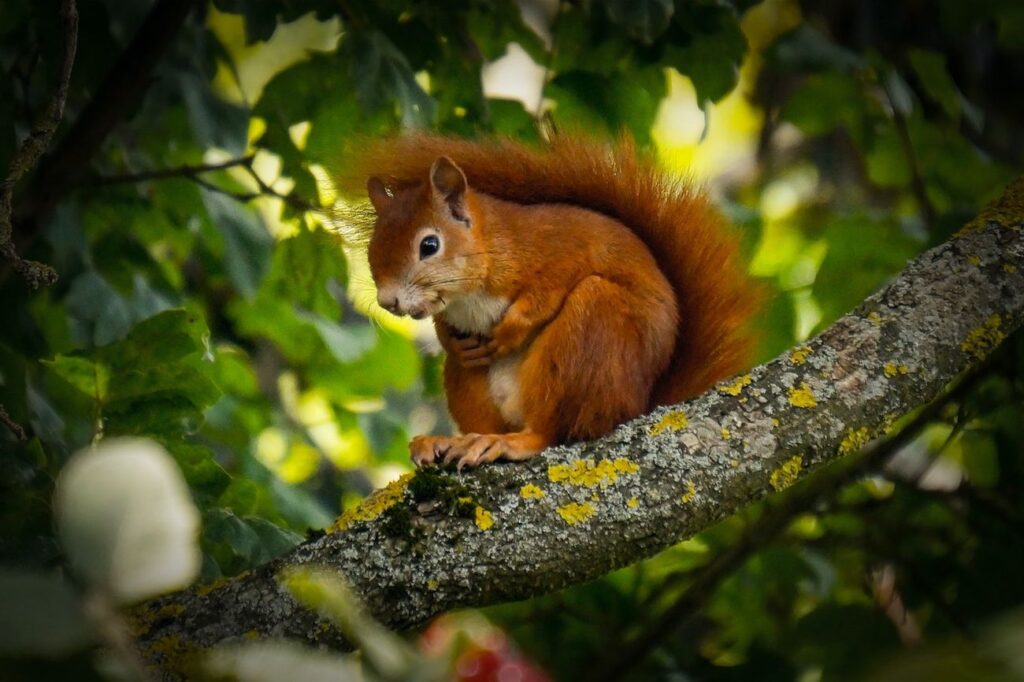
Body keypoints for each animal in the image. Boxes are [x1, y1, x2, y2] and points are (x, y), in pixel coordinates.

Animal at [342, 135, 761, 471]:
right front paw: (451, 339)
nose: (388, 301)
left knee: (553, 432)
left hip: (593, 332)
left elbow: (547, 291)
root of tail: (639, 405)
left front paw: (512, 329)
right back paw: (453, 440)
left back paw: (509, 442)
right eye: (372, 249)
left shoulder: (566, 248)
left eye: (429, 245)